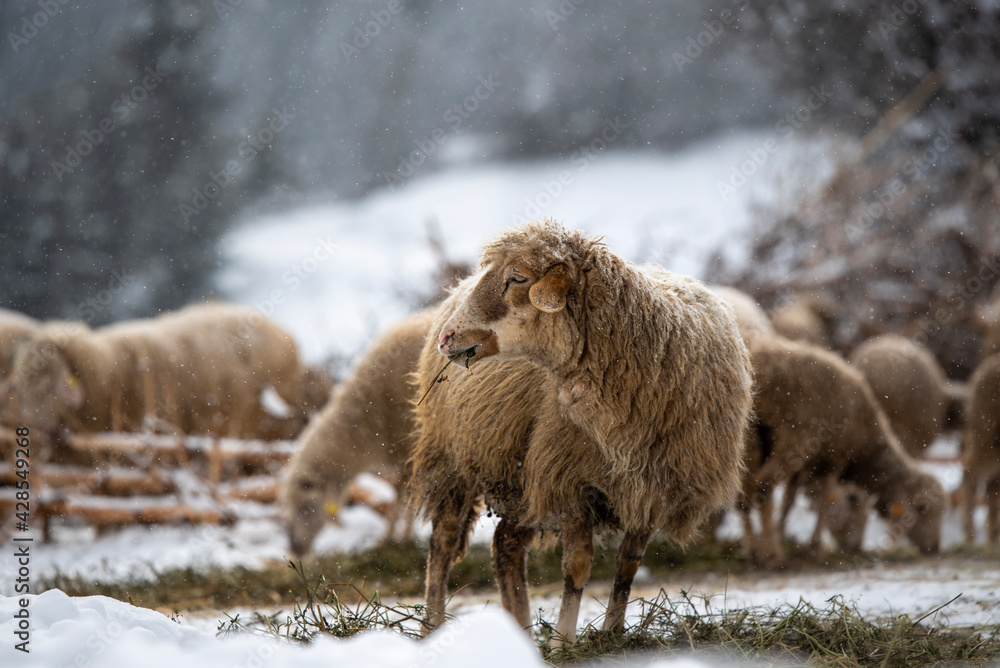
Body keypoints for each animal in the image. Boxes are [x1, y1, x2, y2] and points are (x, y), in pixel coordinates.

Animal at [281, 306, 438, 557]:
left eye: (308, 507)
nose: (295, 549)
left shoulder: (411, 448)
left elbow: (401, 497)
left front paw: (392, 539)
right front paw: (399, 536)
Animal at [408, 220, 753, 643]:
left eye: (517, 277)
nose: (447, 337)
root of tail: (453, 289)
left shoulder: (652, 487)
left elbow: (627, 567)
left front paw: (612, 635)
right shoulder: (569, 479)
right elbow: (577, 567)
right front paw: (564, 643)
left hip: (521, 475)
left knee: (505, 544)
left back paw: (521, 632)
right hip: (452, 459)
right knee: (442, 544)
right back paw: (431, 625)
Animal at [741, 336, 945, 568]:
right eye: (922, 509)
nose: (934, 548)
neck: (868, 445)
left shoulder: (809, 464)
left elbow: (788, 501)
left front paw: (781, 532)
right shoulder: (834, 459)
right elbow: (823, 502)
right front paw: (815, 548)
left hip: (750, 440)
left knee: (746, 491)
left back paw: (754, 552)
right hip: (793, 438)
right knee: (763, 486)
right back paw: (772, 556)